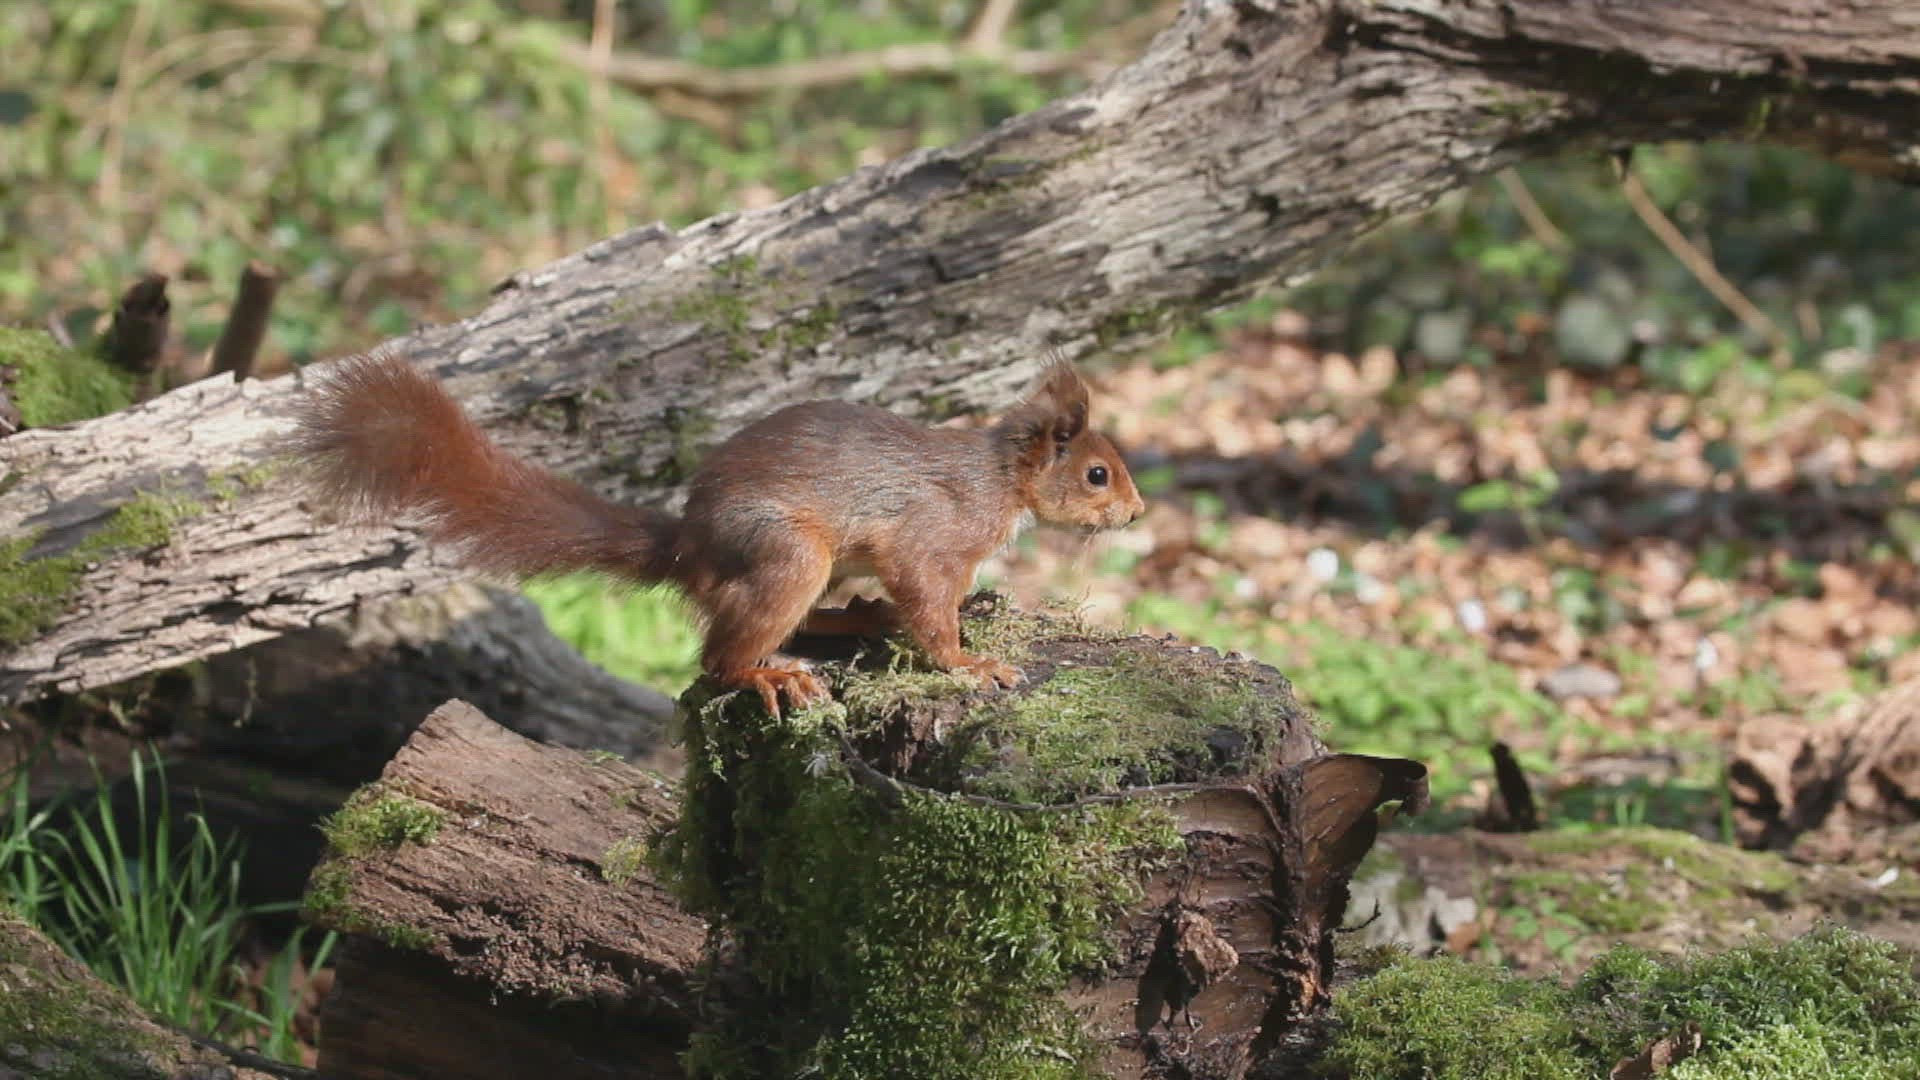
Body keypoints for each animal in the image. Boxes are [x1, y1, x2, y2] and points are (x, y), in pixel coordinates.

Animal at [291, 354, 1145, 716]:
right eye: (1098, 474)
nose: (1137, 515)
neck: (999, 479)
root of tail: (688, 548)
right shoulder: (932, 536)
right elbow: (930, 604)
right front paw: (970, 662)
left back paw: (860, 619)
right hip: (790, 555)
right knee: (718, 655)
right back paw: (770, 676)